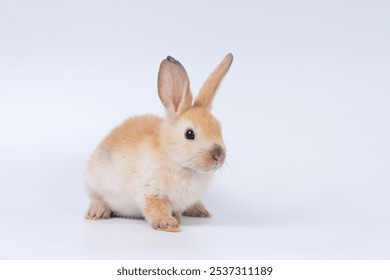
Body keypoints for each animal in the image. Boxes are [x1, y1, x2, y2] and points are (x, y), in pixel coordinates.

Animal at [84, 53, 232, 232]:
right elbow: (156, 208)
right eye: (190, 134)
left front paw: (177, 217)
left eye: (219, 127)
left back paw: (200, 210)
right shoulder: (150, 191)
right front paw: (169, 225)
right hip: (95, 184)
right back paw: (96, 213)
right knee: (98, 198)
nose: (218, 155)